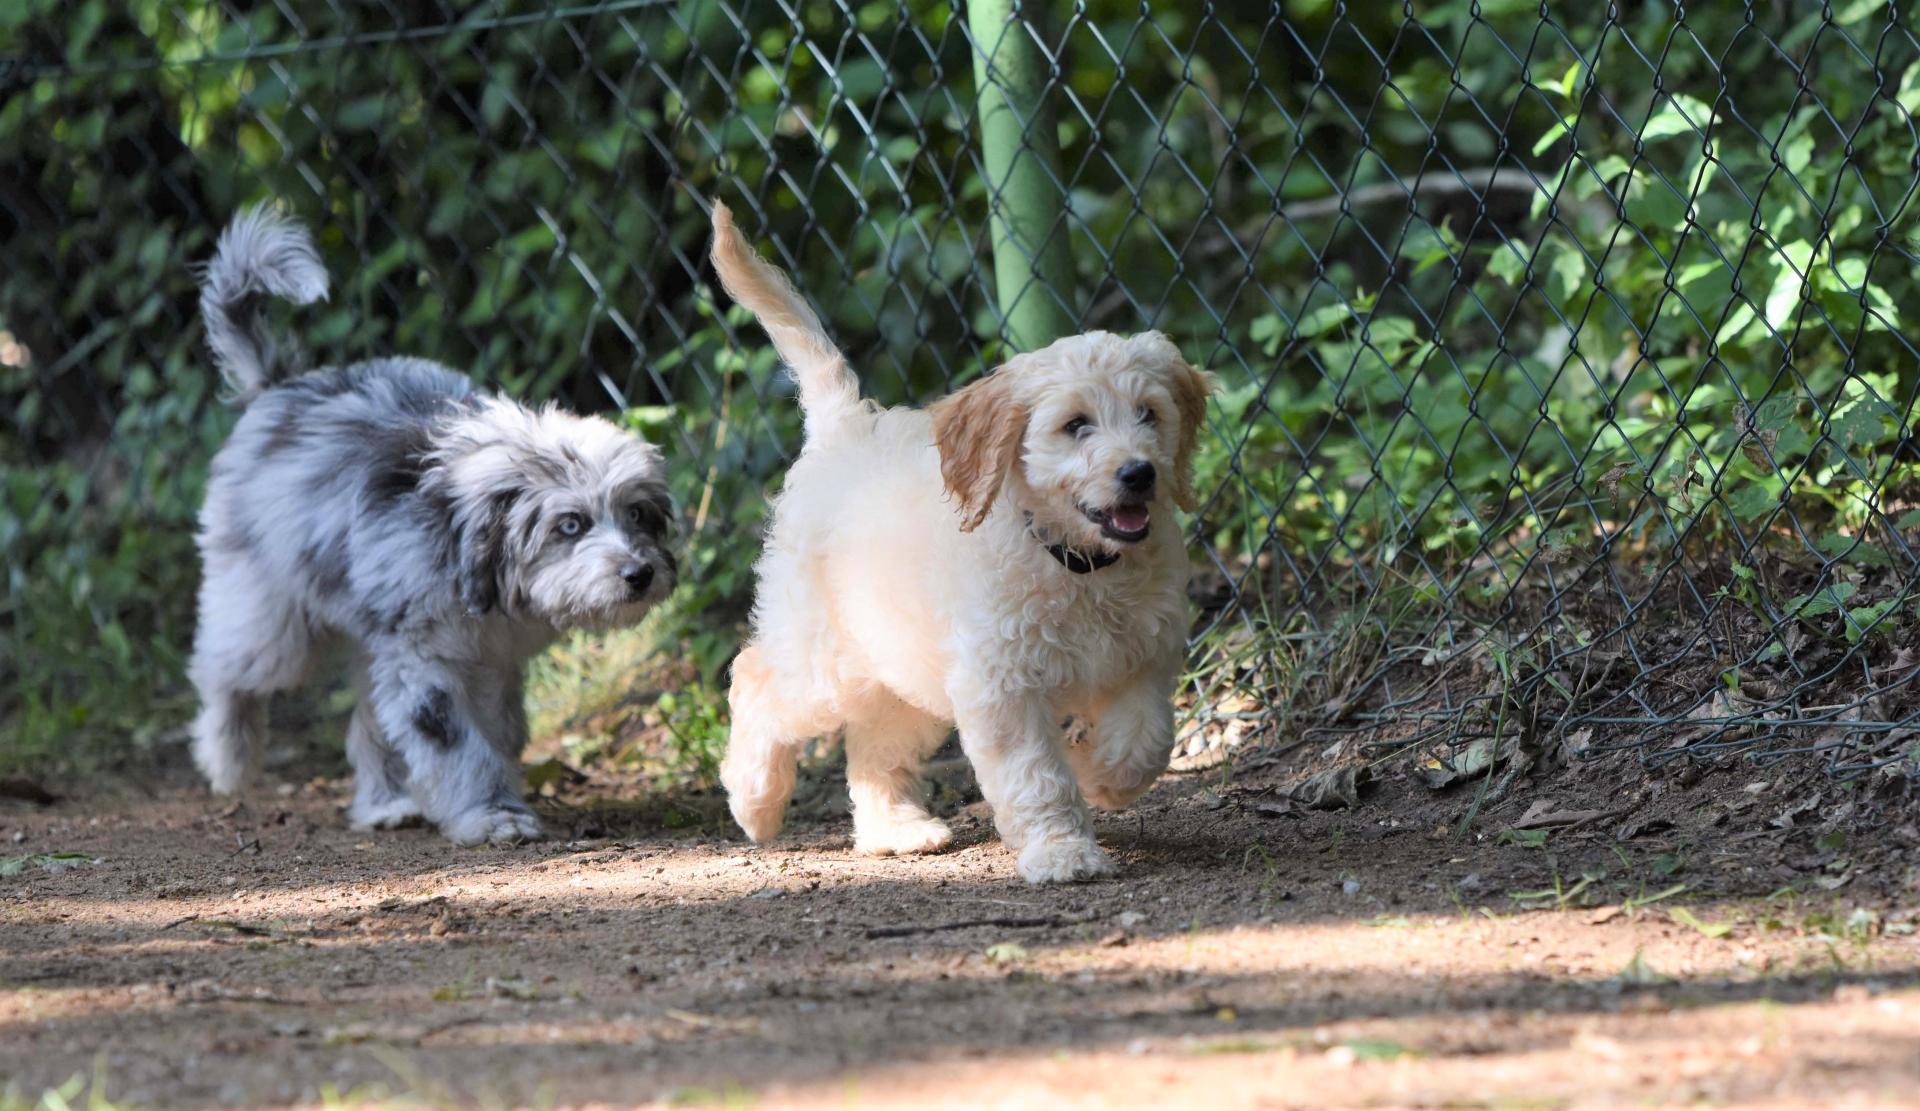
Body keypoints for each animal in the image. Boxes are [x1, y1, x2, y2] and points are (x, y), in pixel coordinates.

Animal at [192, 206, 675, 844]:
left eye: (638, 514)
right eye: (570, 525)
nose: (639, 574)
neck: (468, 542)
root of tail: (279, 387)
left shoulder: (485, 661)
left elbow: (497, 734)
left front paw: (487, 802)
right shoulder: (423, 660)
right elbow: (455, 744)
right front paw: (493, 814)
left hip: (368, 638)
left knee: (366, 722)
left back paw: (384, 805)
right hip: (270, 614)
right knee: (224, 668)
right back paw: (229, 756)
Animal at [706, 202, 1213, 886]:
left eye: (1149, 414)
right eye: (1075, 425)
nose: (1139, 473)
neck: (1077, 565)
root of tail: (844, 426)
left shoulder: (1145, 660)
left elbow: (1144, 742)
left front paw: (1096, 775)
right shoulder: (1002, 688)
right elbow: (1035, 776)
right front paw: (1062, 850)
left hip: (904, 668)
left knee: (873, 746)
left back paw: (895, 830)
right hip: (824, 660)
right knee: (753, 678)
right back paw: (754, 801)